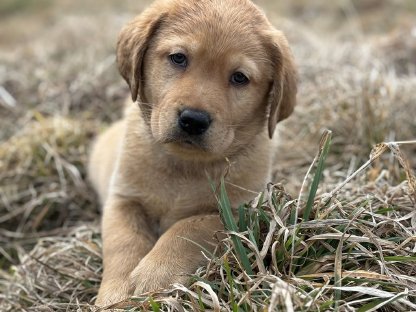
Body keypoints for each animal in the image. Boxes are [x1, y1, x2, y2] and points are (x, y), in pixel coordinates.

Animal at [88, 0, 296, 308]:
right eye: (178, 58)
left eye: (239, 78)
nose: (193, 120)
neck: (184, 164)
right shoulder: (124, 199)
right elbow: (124, 242)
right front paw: (116, 293)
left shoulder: (239, 212)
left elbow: (188, 228)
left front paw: (155, 273)